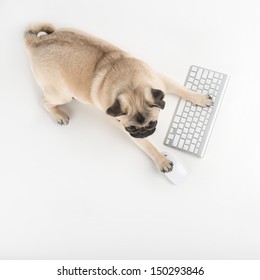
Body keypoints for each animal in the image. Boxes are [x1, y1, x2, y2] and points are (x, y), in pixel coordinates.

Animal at [23, 24, 212, 173]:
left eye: (153, 123)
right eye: (132, 129)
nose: (144, 132)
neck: (130, 86)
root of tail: (37, 43)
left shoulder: (161, 81)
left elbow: (182, 89)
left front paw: (200, 98)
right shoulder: (123, 125)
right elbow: (148, 145)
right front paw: (161, 159)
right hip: (61, 95)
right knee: (44, 102)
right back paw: (58, 115)